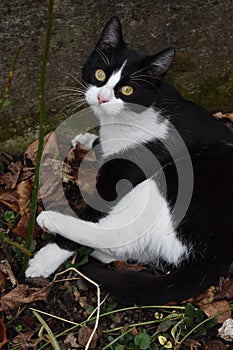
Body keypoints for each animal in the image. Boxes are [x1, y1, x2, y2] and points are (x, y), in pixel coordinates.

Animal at [26, 17, 233, 304]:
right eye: (100, 75)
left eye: (127, 89)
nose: (102, 98)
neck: (131, 118)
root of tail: (216, 257)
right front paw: (90, 140)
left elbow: (97, 207)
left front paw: (47, 257)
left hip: (175, 184)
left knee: (113, 233)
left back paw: (51, 220)